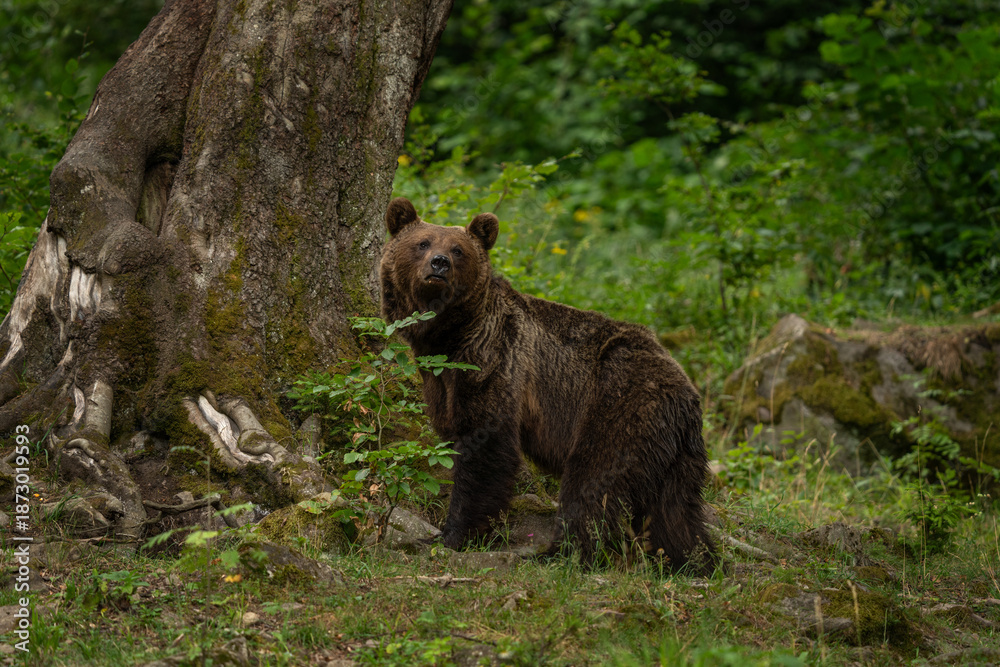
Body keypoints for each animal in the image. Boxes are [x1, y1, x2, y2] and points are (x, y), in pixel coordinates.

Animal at [379, 197, 716, 573]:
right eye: (422, 243)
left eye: (458, 249)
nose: (440, 263)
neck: (448, 336)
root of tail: (686, 392)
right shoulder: (440, 380)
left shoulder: (493, 359)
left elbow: (484, 446)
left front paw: (451, 535)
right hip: (675, 453)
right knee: (676, 509)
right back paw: (692, 559)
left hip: (619, 407)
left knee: (592, 483)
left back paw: (561, 554)